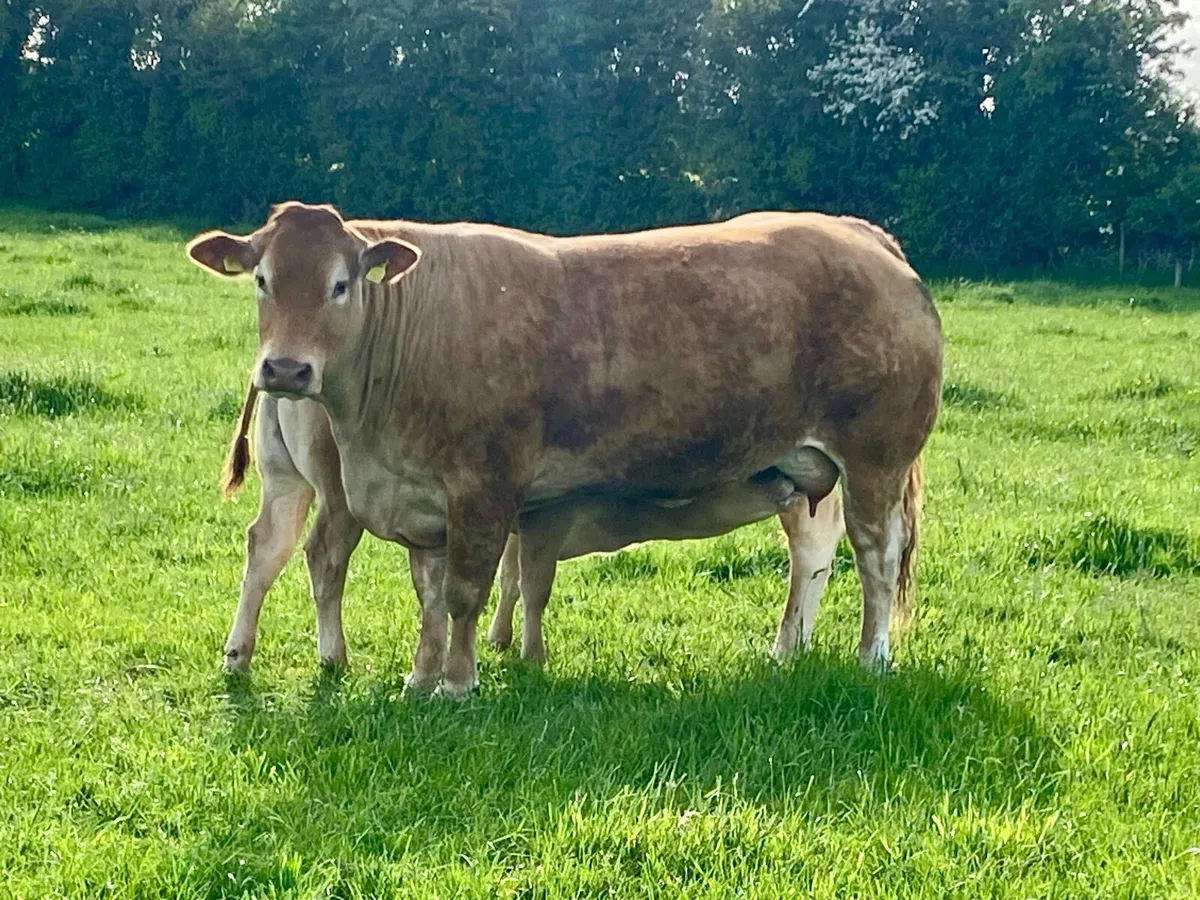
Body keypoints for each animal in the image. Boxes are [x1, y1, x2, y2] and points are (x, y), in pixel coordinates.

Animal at [187, 202, 941, 696]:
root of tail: (865, 237)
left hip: (875, 459)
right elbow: (430, 596)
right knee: (813, 556)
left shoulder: (483, 490)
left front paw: (459, 683)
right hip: (809, 469)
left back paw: (872, 658)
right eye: (262, 280)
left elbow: (466, 592)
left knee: (876, 559)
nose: (287, 369)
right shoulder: (421, 500)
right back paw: (788, 651)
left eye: (341, 285)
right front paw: (420, 677)